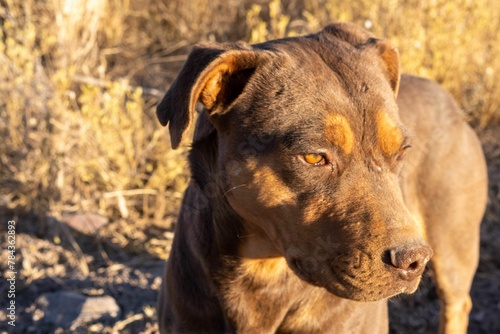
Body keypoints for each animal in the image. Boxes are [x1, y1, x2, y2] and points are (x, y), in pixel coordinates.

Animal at [155, 22, 488, 332]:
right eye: (315, 157)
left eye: (402, 151)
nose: (413, 260)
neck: (264, 270)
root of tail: (450, 101)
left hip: (453, 252)